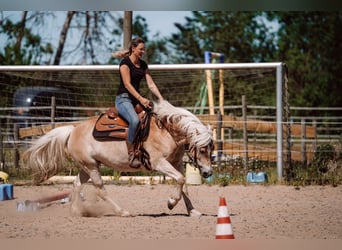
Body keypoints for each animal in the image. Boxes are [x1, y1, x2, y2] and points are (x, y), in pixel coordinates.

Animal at [24, 99, 214, 217]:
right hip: (91, 167)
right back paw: (122, 212)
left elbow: (184, 185)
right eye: (202, 149)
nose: (208, 173)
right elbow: (181, 180)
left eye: (211, 149)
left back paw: (76, 211)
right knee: (100, 189)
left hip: (88, 166)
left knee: (77, 184)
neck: (166, 131)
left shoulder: (176, 163)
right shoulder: (159, 163)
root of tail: (73, 130)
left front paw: (193, 211)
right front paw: (171, 203)